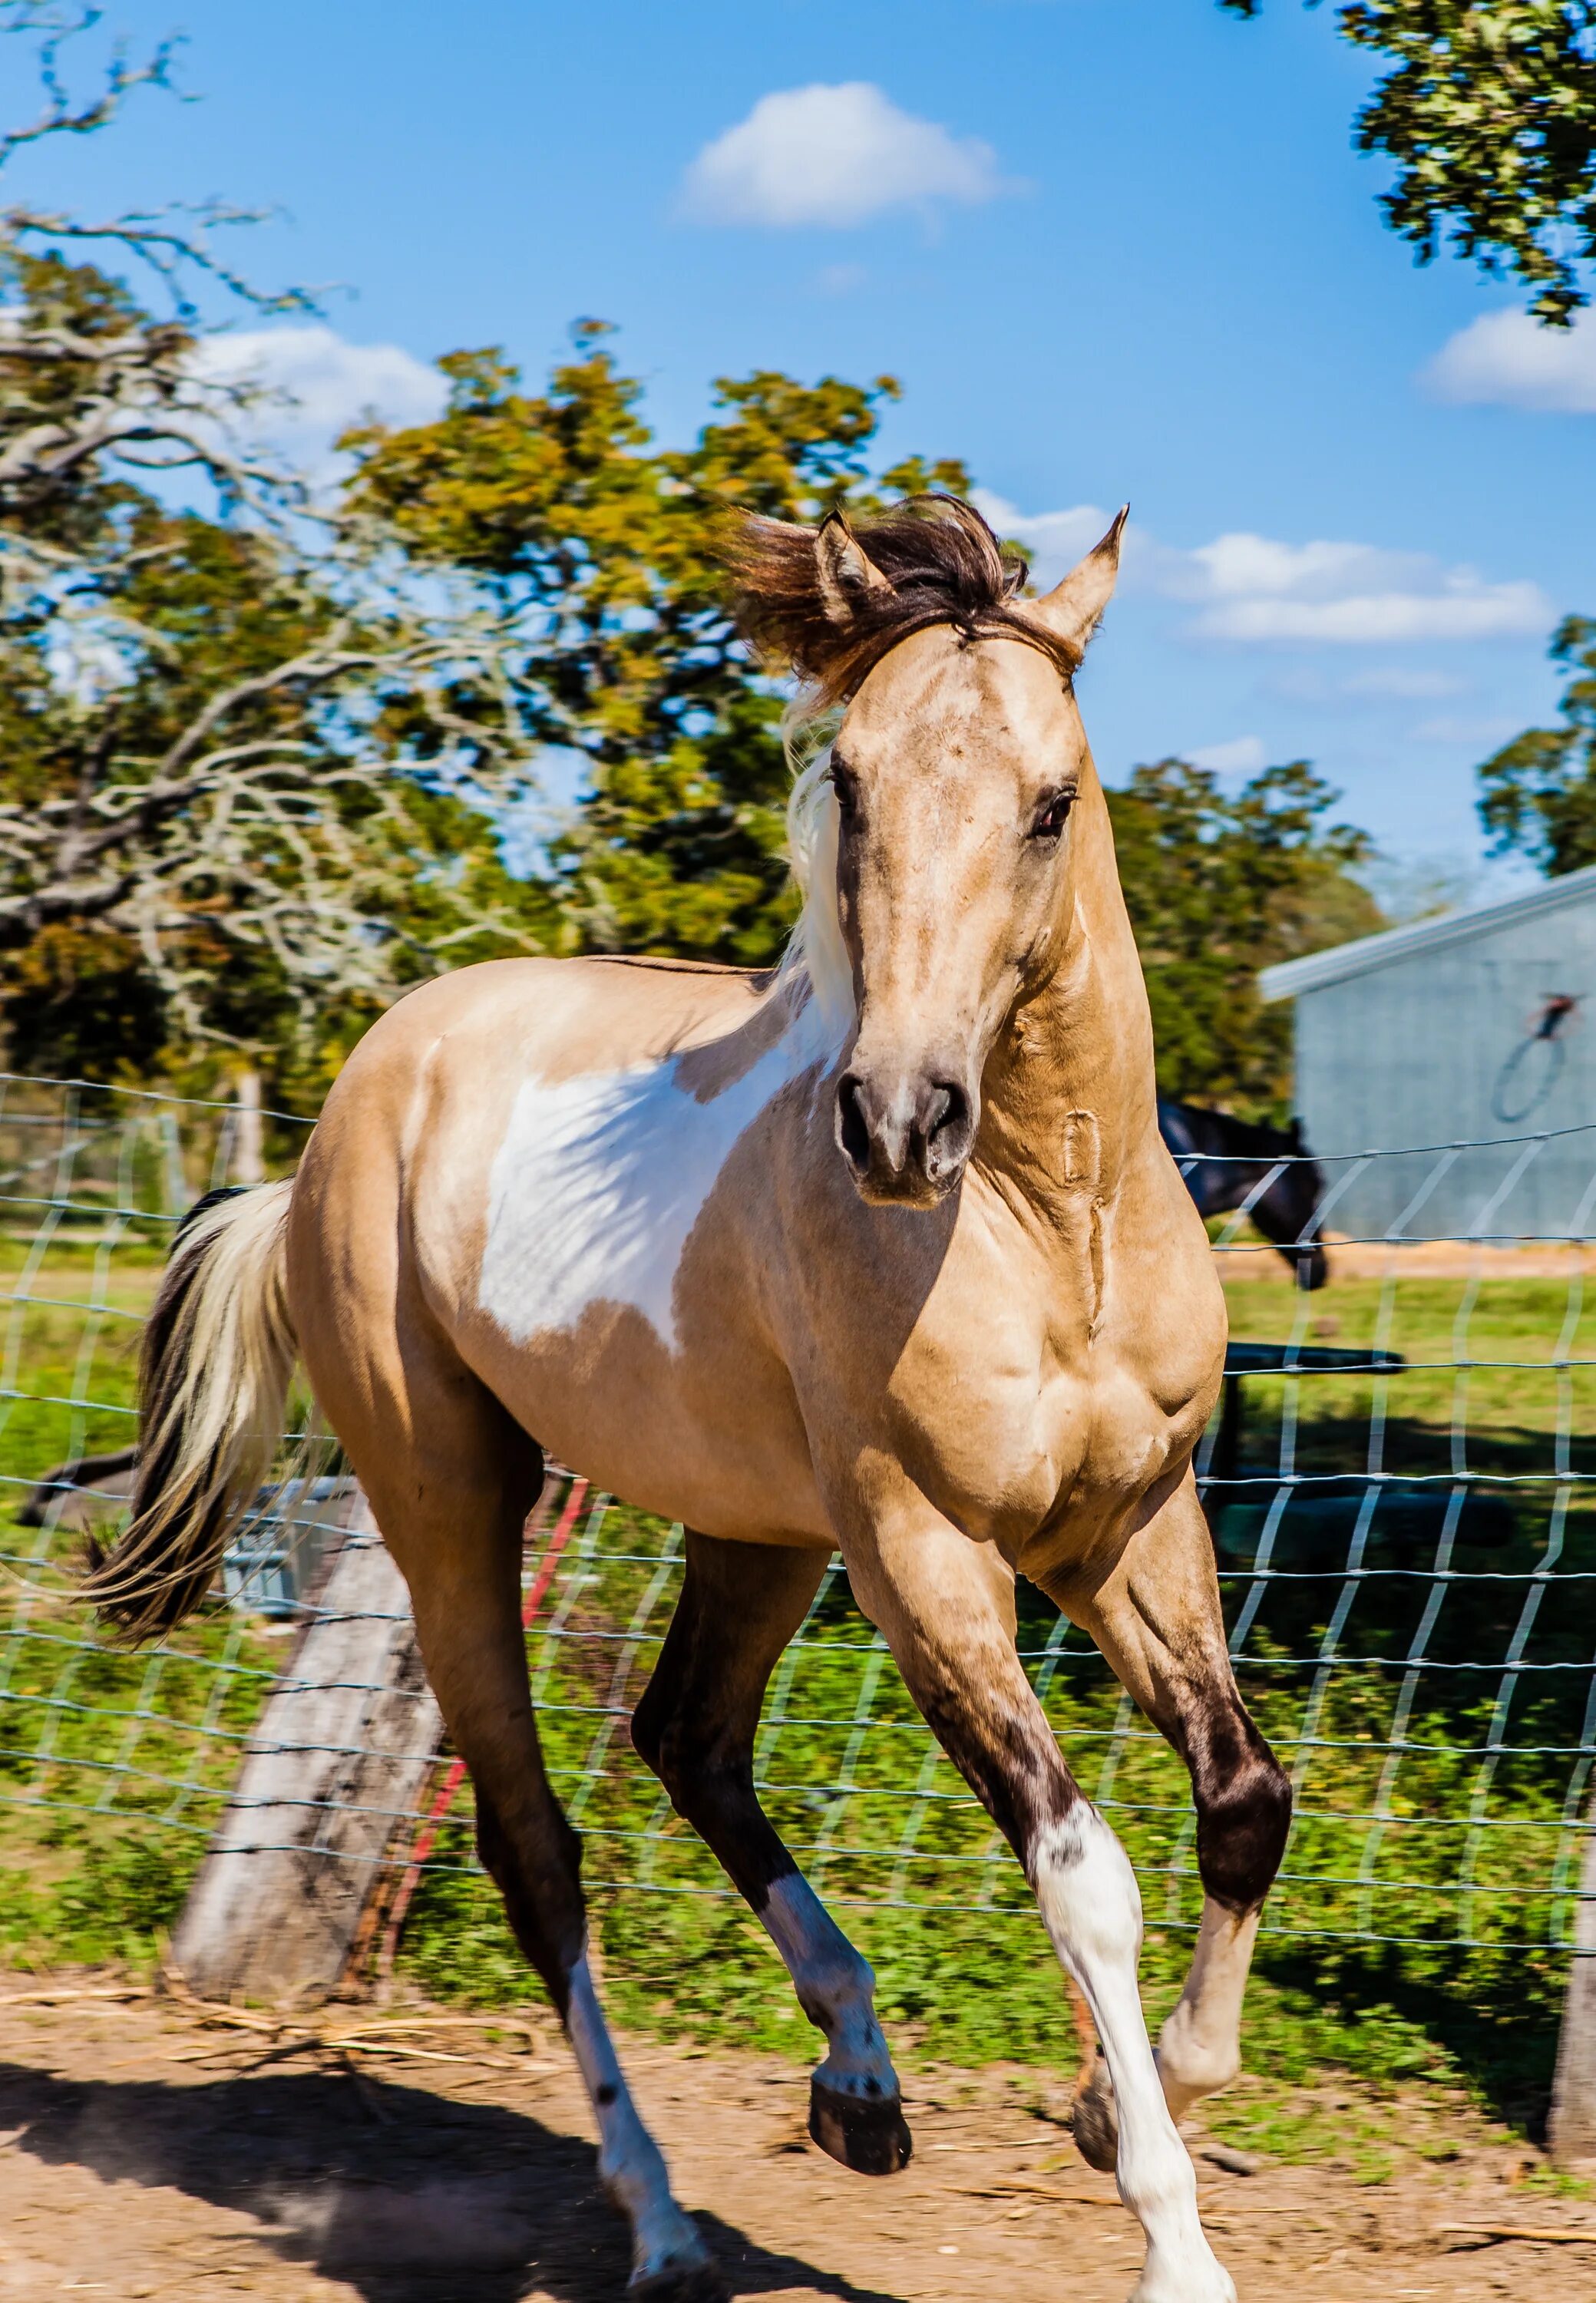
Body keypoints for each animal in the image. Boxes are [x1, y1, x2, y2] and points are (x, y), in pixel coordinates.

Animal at [87, 504, 1290, 2303]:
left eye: (1052, 801)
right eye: (845, 780)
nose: (896, 1124)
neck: (1047, 1223)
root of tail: (341, 1116)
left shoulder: (1128, 1526)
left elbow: (1241, 1802)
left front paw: (1114, 2099)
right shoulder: (924, 1554)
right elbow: (1084, 1872)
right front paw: (1167, 2232)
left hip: (755, 1532)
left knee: (687, 1739)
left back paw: (856, 2085)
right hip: (453, 1507)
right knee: (536, 1848)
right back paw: (657, 2218)